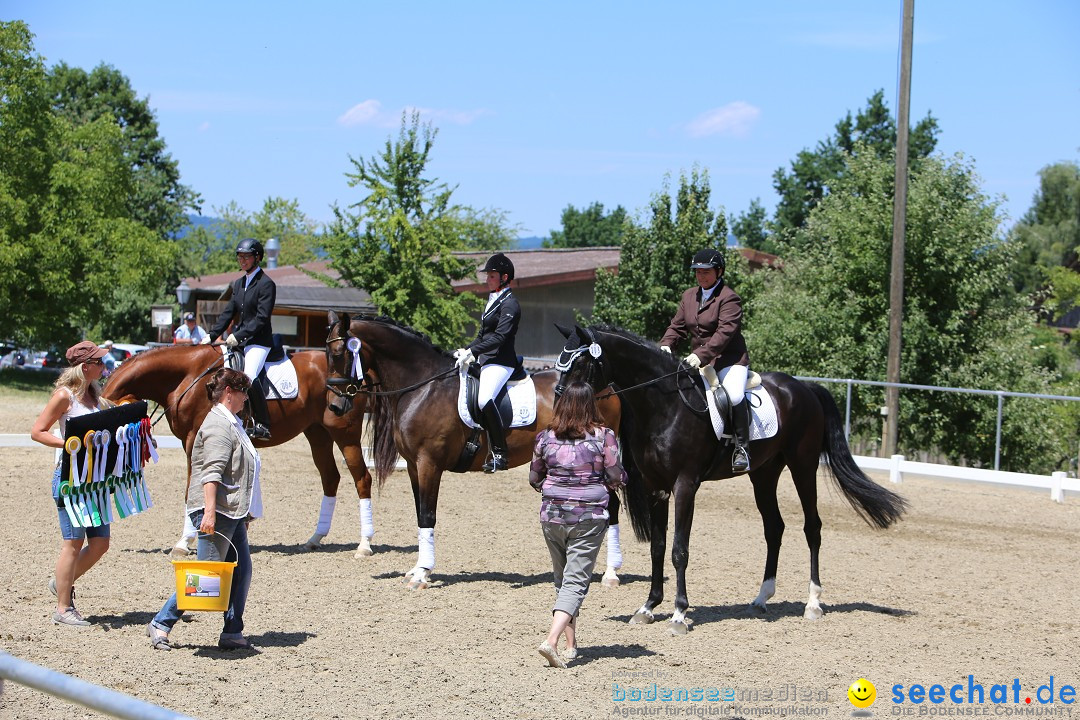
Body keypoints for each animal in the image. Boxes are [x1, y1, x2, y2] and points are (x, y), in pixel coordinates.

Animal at [103, 343, 378, 557]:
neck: (188, 376)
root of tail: (357, 378)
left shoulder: (194, 438)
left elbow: (193, 489)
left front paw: (184, 542)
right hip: (317, 433)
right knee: (330, 478)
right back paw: (314, 539)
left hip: (345, 434)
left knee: (362, 478)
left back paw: (364, 545)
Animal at [326, 315, 626, 591]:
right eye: (327, 353)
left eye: (339, 353)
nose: (335, 406)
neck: (423, 386)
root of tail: (607, 387)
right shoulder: (413, 465)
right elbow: (420, 514)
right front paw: (417, 569)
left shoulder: (428, 464)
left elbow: (428, 515)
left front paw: (422, 573)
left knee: (611, 507)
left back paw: (610, 574)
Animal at [557, 323, 902, 634]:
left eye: (581, 364)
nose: (561, 404)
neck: (665, 405)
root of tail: (804, 389)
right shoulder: (657, 488)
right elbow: (658, 546)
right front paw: (648, 607)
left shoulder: (685, 485)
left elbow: (679, 550)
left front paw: (679, 614)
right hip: (764, 475)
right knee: (774, 528)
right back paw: (762, 598)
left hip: (803, 467)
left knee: (812, 528)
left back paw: (813, 603)